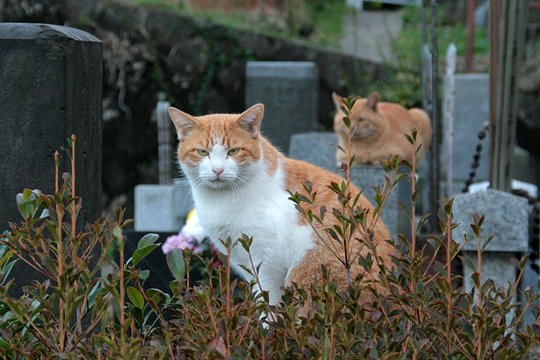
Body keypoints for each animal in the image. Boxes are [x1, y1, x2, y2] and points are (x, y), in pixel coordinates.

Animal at [169, 103, 392, 304]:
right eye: (202, 152)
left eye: (233, 151)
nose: (217, 170)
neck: (222, 198)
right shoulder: (246, 264)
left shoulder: (266, 265)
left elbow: (269, 308)